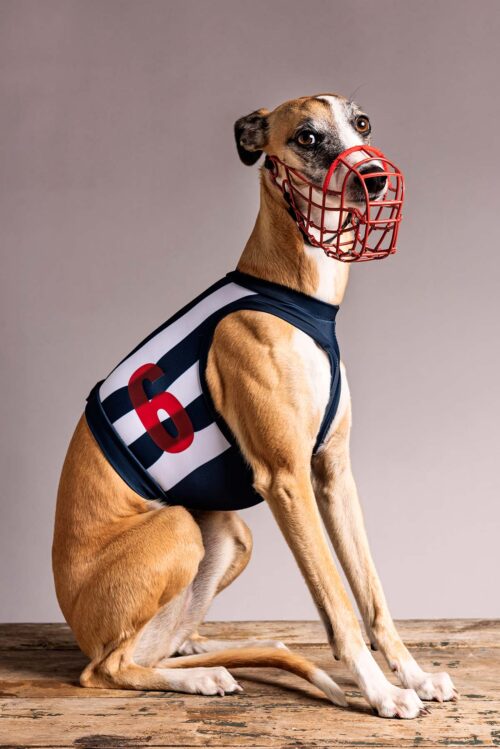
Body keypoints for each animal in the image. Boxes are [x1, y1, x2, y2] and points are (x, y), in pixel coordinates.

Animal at [53, 93, 458, 720]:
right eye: (308, 137)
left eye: (362, 124)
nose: (375, 177)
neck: (295, 292)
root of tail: (78, 626)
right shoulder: (287, 478)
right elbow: (338, 602)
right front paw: (383, 693)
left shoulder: (333, 474)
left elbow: (371, 593)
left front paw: (413, 675)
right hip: (177, 530)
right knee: (106, 670)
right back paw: (200, 675)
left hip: (230, 534)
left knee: (154, 647)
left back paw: (205, 649)